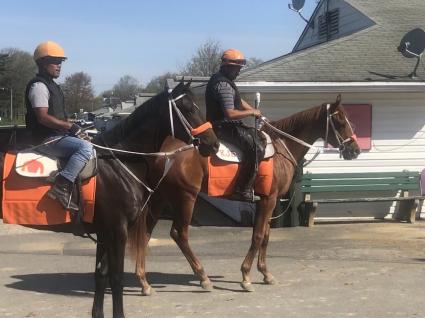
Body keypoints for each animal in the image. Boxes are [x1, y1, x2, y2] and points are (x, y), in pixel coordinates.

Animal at [0, 82, 219, 318]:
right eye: (187, 108)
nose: (213, 144)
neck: (118, 164)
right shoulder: (117, 231)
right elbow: (116, 278)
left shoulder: (105, 233)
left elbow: (101, 275)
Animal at [129, 94, 358, 294]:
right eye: (339, 120)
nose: (354, 150)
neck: (280, 148)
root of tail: (164, 152)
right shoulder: (269, 200)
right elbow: (258, 236)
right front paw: (246, 276)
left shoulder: (266, 200)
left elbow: (265, 235)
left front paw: (265, 273)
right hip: (186, 198)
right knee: (179, 234)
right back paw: (203, 277)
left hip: (160, 198)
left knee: (145, 232)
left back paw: (143, 281)